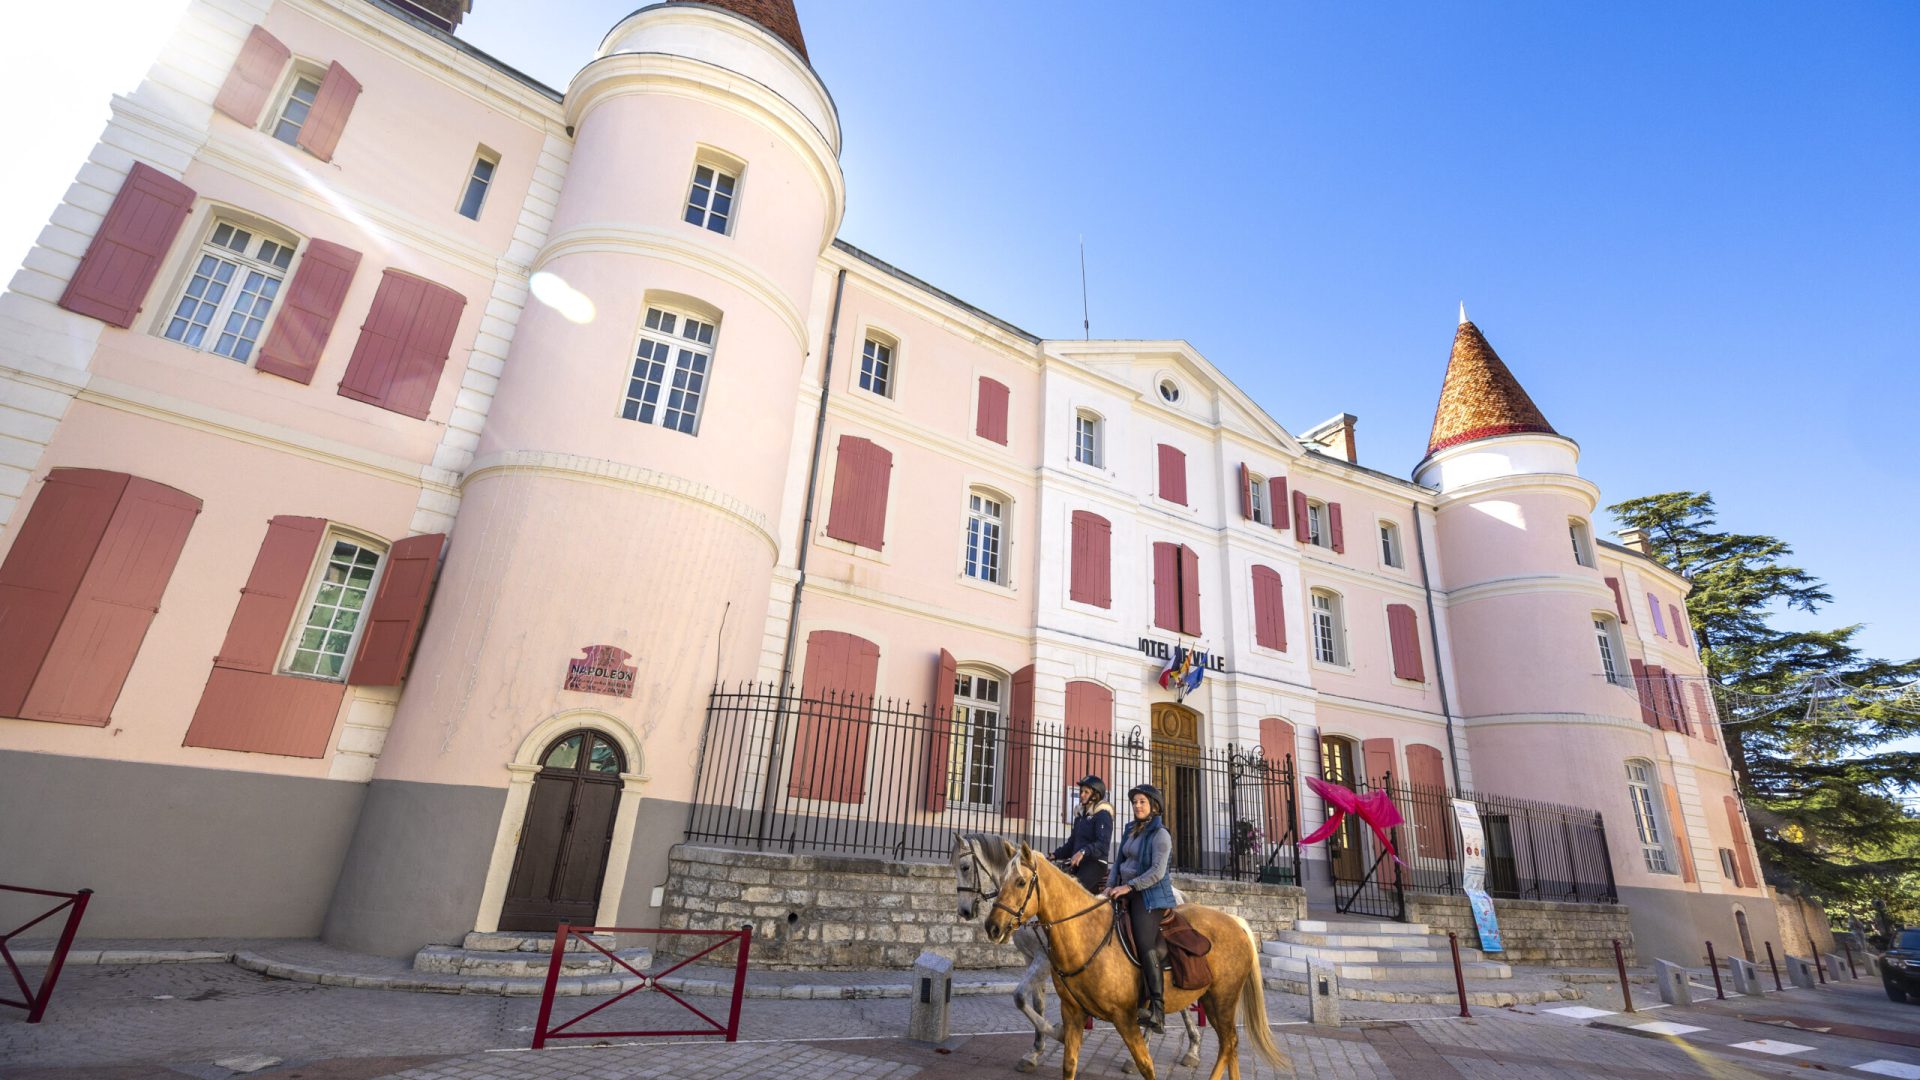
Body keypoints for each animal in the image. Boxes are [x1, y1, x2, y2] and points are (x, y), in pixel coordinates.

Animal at [948, 834, 1198, 1068]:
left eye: (965, 867)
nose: (964, 911)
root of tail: (1177, 893)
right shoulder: (1031, 958)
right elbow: (1036, 1003)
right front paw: (1035, 1050)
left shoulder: (1044, 960)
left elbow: (1019, 997)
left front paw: (1058, 1033)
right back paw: (1190, 1047)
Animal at [975, 841, 1290, 1076]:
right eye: (1001, 881)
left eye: (1020, 882)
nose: (992, 926)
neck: (1085, 931)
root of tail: (1236, 920)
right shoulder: (1063, 998)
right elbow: (1051, 1033)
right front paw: (1038, 1048)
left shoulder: (1122, 1016)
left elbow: (1145, 1065)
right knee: (1226, 1042)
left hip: (1221, 999)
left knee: (1226, 1041)